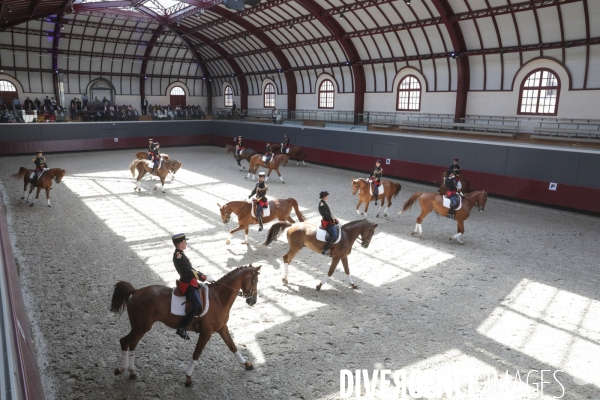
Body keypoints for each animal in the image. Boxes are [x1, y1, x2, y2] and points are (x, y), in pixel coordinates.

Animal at [111, 264, 262, 386]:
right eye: (255, 281)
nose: (253, 301)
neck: (218, 298)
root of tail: (136, 291)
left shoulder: (222, 328)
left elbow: (232, 346)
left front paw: (247, 364)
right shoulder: (206, 332)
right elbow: (197, 353)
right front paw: (188, 378)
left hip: (140, 328)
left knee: (132, 344)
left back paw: (132, 372)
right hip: (141, 327)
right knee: (125, 342)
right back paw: (121, 369)